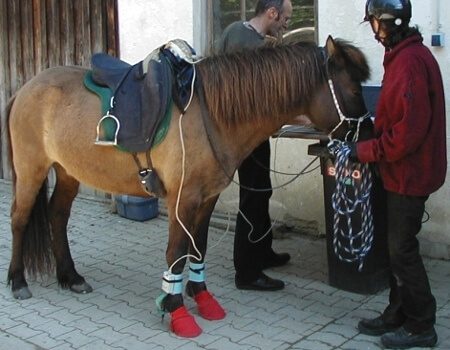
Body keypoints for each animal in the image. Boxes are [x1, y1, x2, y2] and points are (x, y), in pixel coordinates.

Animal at [6, 35, 370, 336]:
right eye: (354, 91)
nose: (368, 137)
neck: (210, 113)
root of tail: (25, 88)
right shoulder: (182, 200)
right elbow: (176, 253)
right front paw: (176, 311)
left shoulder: (207, 199)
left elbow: (198, 248)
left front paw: (203, 299)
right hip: (31, 169)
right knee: (20, 219)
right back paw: (18, 281)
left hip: (68, 171)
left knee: (57, 216)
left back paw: (71, 277)